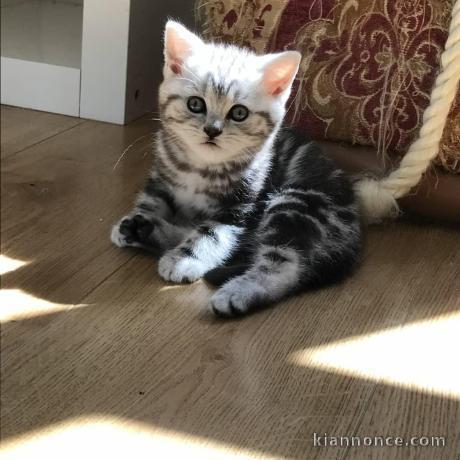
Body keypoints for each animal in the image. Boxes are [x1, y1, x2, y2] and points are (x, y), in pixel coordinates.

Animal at [111, 20, 362, 316]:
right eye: (195, 104)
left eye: (239, 113)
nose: (212, 130)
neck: (200, 168)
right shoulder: (162, 177)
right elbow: (152, 201)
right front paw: (138, 218)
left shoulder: (240, 206)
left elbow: (211, 234)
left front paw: (186, 258)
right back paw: (145, 230)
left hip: (298, 205)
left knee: (285, 266)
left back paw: (237, 293)